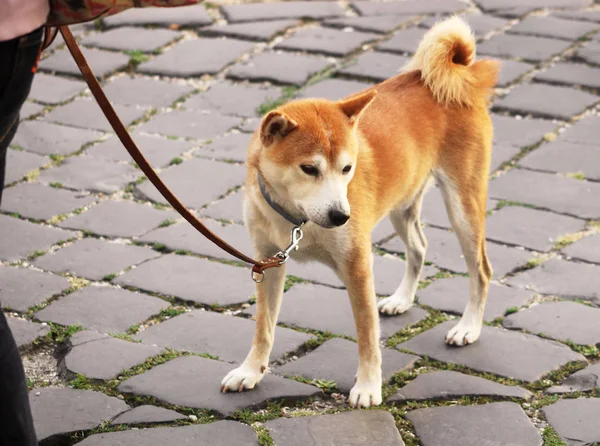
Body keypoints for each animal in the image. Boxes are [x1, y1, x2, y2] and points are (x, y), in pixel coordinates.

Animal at [223, 16, 500, 408]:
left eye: (347, 169)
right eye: (309, 169)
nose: (342, 216)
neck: (296, 220)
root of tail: (457, 77)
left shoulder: (357, 267)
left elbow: (367, 336)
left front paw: (368, 387)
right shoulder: (268, 263)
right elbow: (264, 328)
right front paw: (251, 371)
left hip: (463, 207)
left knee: (481, 270)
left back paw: (468, 328)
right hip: (403, 205)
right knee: (419, 247)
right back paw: (402, 300)